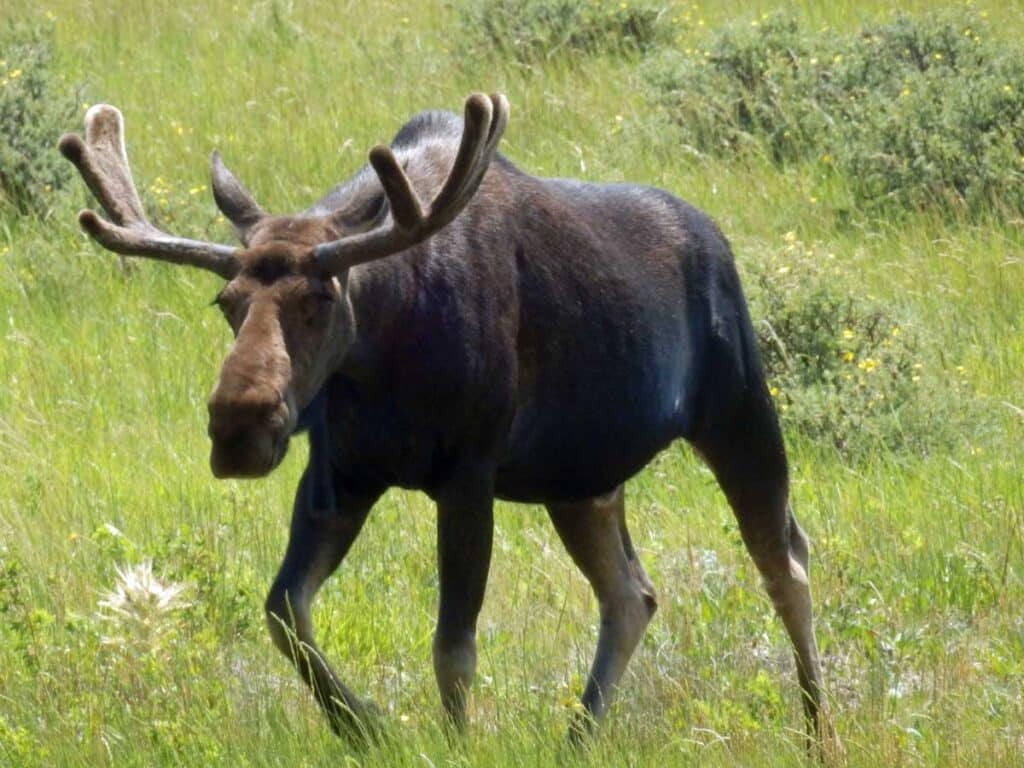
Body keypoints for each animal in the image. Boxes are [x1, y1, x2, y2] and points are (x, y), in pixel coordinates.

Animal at [60, 93, 834, 751]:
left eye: (320, 298)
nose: (238, 427)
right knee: (631, 594)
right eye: (226, 300)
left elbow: (452, 649)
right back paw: (578, 739)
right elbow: (285, 611)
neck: (383, 355)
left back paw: (817, 735)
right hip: (580, 479)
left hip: (739, 411)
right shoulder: (341, 473)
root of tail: (717, 239)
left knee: (786, 564)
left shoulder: (469, 472)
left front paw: (450, 742)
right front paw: (364, 726)